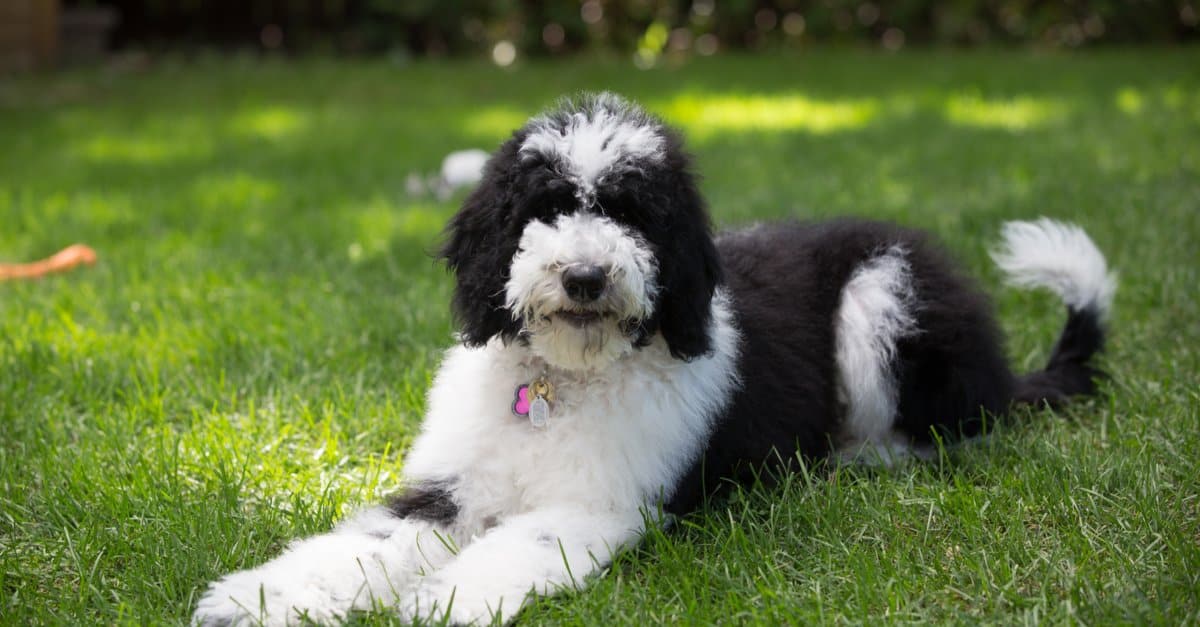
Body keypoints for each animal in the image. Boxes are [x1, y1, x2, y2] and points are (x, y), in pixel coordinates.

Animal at [194, 92, 1113, 624]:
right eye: (546, 207)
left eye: (633, 214)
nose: (586, 275)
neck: (564, 379)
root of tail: (1003, 365)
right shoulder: (449, 488)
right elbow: (366, 544)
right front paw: (258, 595)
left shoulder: (602, 504)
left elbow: (517, 545)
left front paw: (445, 597)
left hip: (882, 297)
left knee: (950, 428)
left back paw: (850, 459)